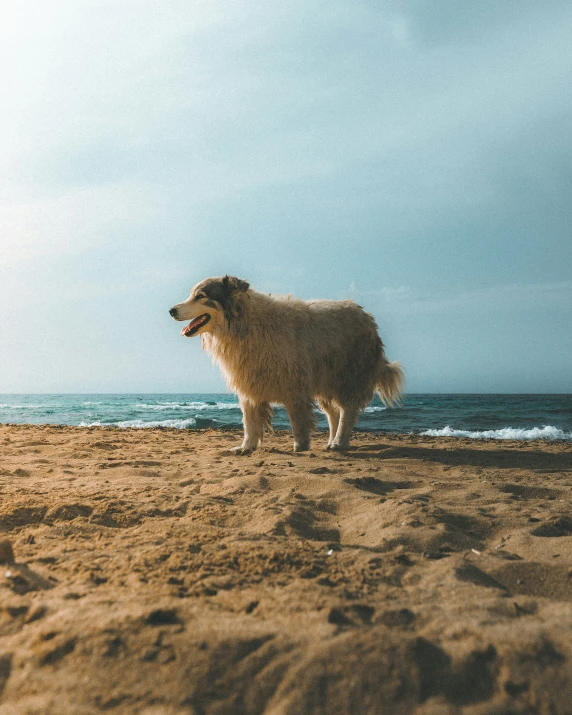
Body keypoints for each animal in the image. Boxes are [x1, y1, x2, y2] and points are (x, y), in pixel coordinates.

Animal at [169, 276, 402, 454]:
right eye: (191, 295)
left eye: (200, 296)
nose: (171, 310)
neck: (244, 323)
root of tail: (367, 317)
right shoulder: (249, 384)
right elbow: (249, 422)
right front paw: (246, 447)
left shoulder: (294, 385)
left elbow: (297, 420)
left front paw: (300, 445)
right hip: (325, 382)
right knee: (332, 414)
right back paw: (330, 441)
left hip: (348, 377)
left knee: (347, 412)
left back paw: (339, 442)